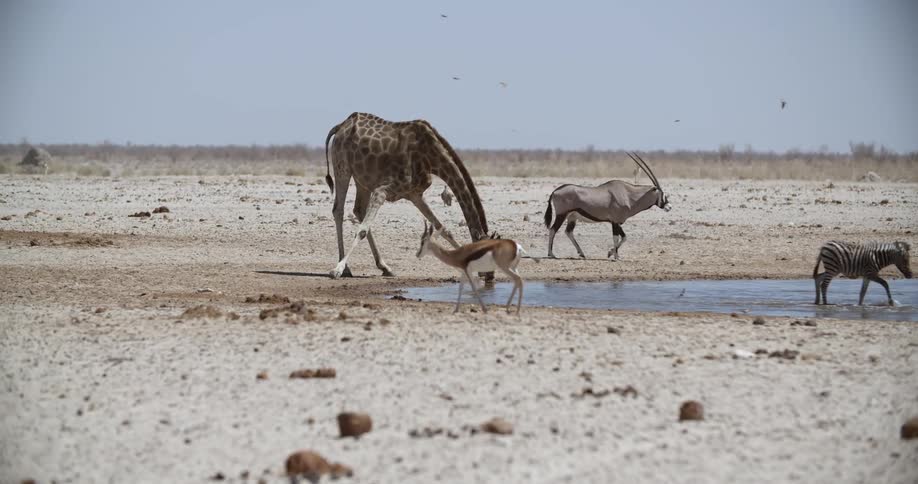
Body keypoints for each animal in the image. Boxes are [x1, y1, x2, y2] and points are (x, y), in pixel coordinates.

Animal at [324, 112, 490, 279]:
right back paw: (346, 268)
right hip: (342, 167)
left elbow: (443, 228)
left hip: (362, 179)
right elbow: (362, 230)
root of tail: (340, 126)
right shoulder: (382, 190)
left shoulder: (415, 194)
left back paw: (385, 267)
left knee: (358, 209)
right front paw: (336, 269)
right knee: (338, 210)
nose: (489, 275)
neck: (432, 158)